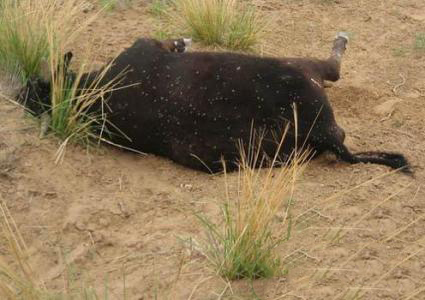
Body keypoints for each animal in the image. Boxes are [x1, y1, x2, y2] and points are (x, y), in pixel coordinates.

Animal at [17, 34, 410, 173]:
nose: (19, 93)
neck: (90, 91)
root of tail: (323, 131)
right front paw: (182, 42)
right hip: (303, 68)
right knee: (334, 68)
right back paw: (340, 40)